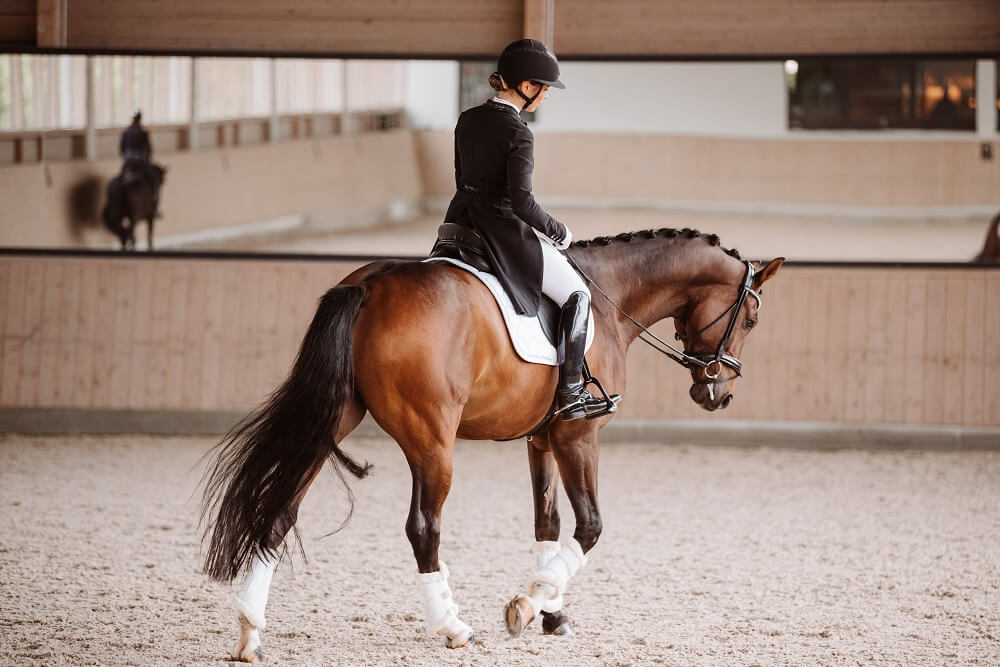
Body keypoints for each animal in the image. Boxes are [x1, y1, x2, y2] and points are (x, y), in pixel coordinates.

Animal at [201, 226, 780, 664]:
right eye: (751, 320)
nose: (718, 395)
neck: (612, 298)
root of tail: (371, 283)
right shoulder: (578, 435)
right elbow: (589, 526)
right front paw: (525, 606)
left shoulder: (542, 439)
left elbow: (547, 523)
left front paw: (551, 611)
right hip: (432, 440)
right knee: (423, 527)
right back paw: (452, 627)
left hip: (334, 422)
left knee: (281, 510)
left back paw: (250, 632)